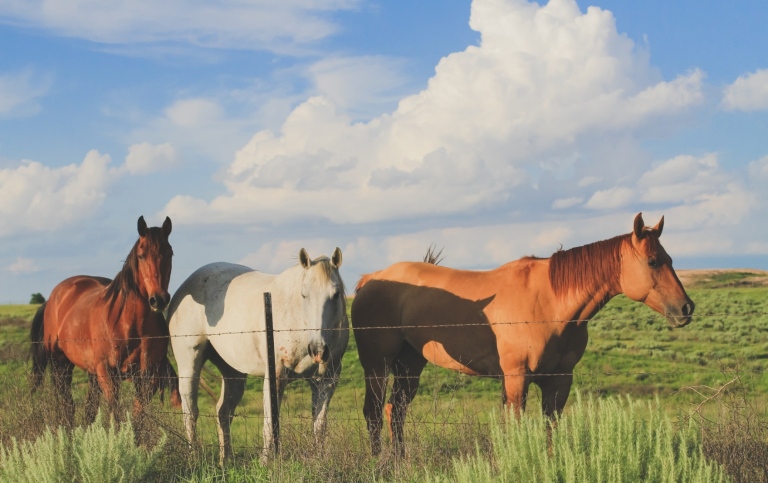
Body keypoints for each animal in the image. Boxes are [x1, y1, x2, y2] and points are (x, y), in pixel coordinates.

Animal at [30, 216, 180, 442]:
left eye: (169, 253)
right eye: (141, 255)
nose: (159, 299)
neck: (131, 326)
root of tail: (54, 297)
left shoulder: (147, 376)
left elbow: (137, 419)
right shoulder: (108, 374)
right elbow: (117, 417)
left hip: (91, 373)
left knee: (89, 409)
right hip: (61, 365)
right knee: (67, 407)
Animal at [170, 250, 350, 466]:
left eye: (336, 294)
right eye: (304, 294)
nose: (318, 350)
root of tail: (183, 289)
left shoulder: (326, 380)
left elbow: (319, 425)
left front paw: (319, 460)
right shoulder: (276, 376)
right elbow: (270, 422)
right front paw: (265, 462)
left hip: (233, 373)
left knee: (223, 411)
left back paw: (225, 460)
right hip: (189, 363)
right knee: (190, 411)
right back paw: (193, 457)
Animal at [354, 214, 696, 456]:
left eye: (670, 259)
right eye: (653, 261)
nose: (686, 308)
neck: (550, 303)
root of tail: (371, 279)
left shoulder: (559, 381)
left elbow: (549, 428)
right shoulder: (517, 379)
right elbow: (515, 427)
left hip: (410, 364)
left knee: (395, 411)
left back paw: (399, 461)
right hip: (377, 365)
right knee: (373, 412)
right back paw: (378, 463)